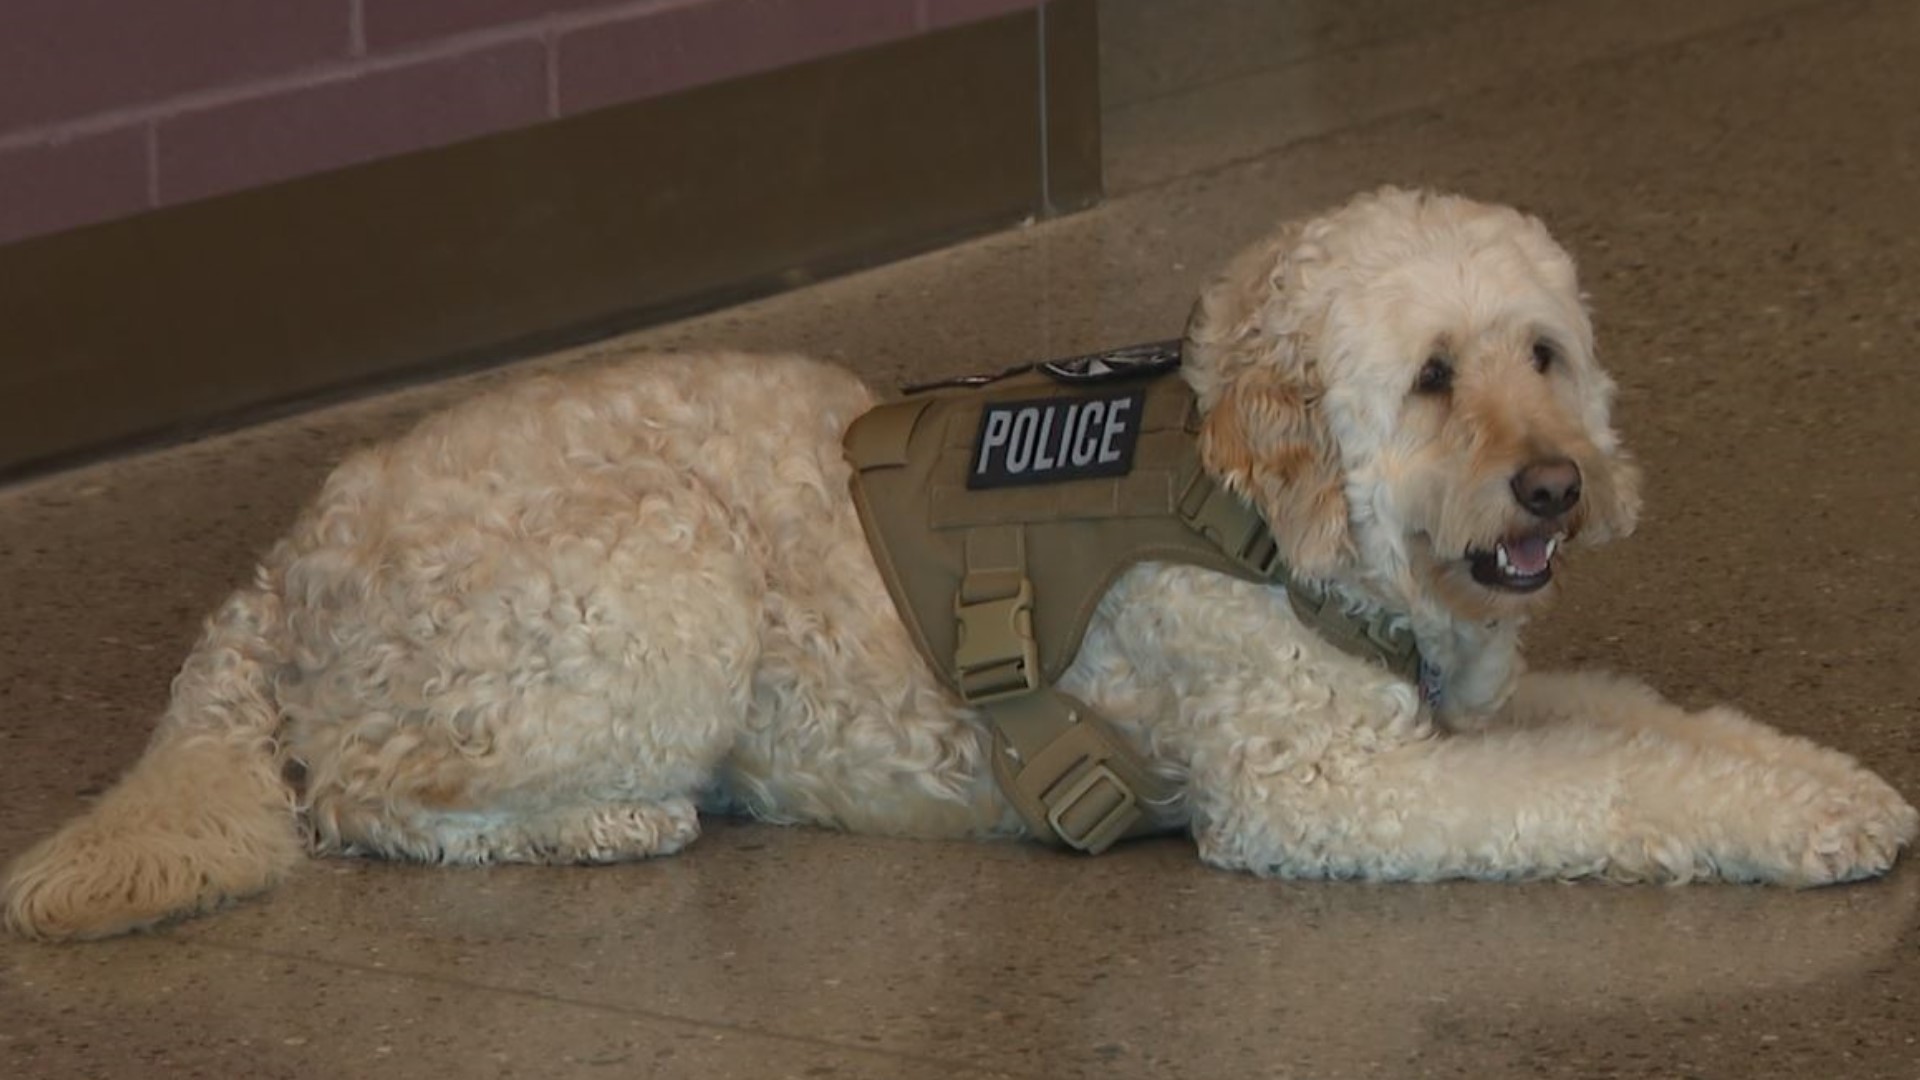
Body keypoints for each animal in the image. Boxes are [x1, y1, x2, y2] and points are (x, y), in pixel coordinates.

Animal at [7, 184, 1912, 933]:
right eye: (1432, 377)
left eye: (1545, 352)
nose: (1557, 490)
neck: (1250, 509)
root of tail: (286, 559)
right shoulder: (1330, 794)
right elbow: (1601, 786)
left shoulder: (1465, 713)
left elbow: (1657, 734)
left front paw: (1818, 785)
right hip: (651, 604)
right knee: (362, 795)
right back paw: (600, 825)